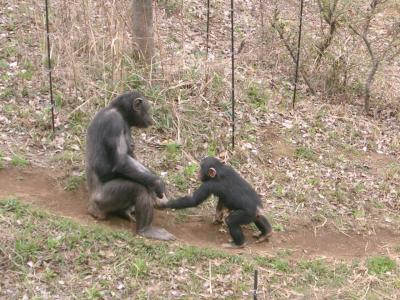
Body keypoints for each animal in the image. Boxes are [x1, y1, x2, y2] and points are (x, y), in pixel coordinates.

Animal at [86, 90, 175, 240]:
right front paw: (158, 183)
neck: (121, 114)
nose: (151, 119)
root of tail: (92, 207)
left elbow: (132, 158)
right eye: (148, 110)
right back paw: (145, 229)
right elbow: (122, 161)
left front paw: (158, 194)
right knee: (137, 189)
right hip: (102, 199)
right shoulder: (113, 123)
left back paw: (126, 212)